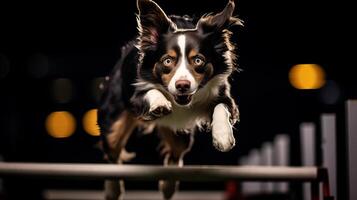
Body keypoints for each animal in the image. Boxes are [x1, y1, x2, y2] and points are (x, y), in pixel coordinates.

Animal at [97, 0, 242, 199]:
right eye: (167, 61)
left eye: (198, 60)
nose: (183, 85)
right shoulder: (134, 95)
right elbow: (149, 91)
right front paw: (159, 102)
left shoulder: (221, 92)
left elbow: (222, 107)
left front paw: (223, 136)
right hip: (115, 121)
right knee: (112, 152)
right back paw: (113, 189)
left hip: (179, 133)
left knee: (175, 155)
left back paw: (169, 186)